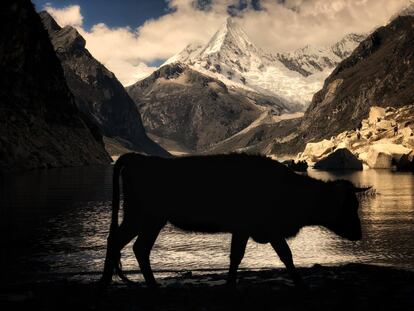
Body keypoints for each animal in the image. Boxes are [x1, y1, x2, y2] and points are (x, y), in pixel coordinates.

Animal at [101, 155, 368, 288]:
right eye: (348, 207)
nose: (359, 234)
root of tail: (137, 158)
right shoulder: (257, 229)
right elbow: (270, 255)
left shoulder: (257, 231)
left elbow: (261, 256)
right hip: (143, 217)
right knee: (122, 243)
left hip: (148, 220)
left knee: (134, 246)